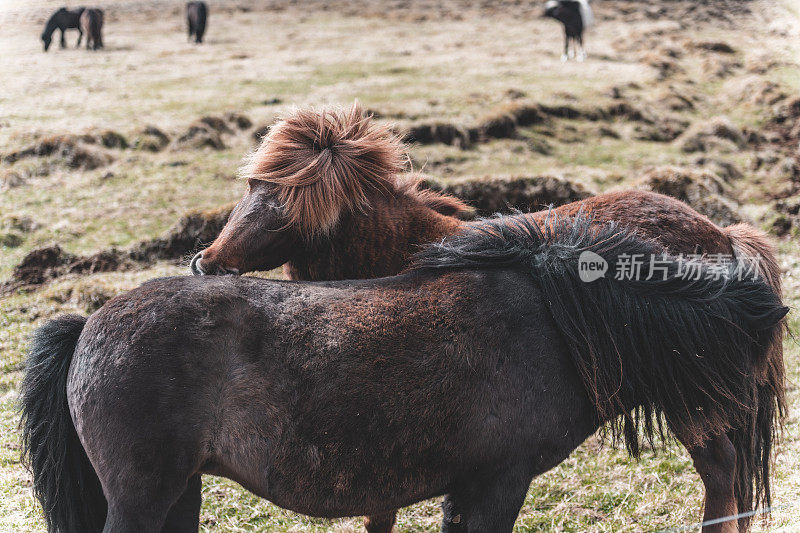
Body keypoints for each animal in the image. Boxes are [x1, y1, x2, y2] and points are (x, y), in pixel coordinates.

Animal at [18, 213, 788, 532]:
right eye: (744, 370)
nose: (745, 444)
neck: (556, 323)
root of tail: (88, 325)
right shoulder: (496, 484)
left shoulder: (470, 488)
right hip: (143, 495)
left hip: (179, 491)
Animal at [194, 105, 788, 532]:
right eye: (253, 187)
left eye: (293, 202)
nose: (207, 263)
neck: (405, 252)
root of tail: (722, 236)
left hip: (690, 398)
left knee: (721, 474)